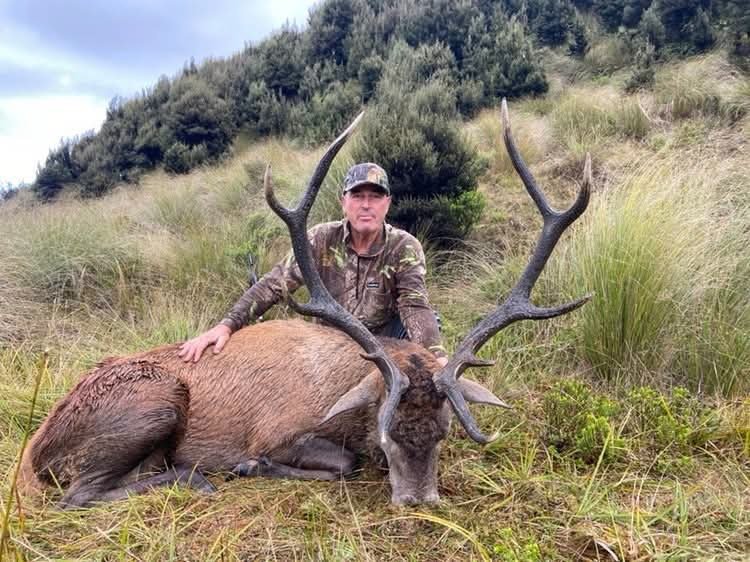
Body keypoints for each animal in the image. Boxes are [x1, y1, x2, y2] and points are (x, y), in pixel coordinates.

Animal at [17, 100, 591, 508]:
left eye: (446, 432)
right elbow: (340, 463)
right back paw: (195, 477)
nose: (418, 499)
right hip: (151, 403)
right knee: (76, 496)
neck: (343, 392)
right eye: (385, 436)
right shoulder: (276, 431)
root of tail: (34, 450)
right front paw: (251, 467)